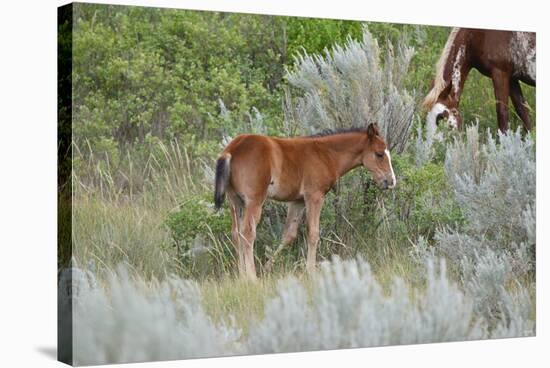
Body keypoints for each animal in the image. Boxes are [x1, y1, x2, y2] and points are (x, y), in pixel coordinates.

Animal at [215, 123, 396, 278]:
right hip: (254, 201)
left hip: (235, 201)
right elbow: (313, 233)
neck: (325, 154)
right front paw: (311, 271)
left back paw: (242, 275)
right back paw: (251, 277)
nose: (391, 181)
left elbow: (289, 235)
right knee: (247, 233)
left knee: (236, 233)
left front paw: (266, 268)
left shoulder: (298, 201)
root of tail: (232, 149)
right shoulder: (315, 196)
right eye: (379, 154)